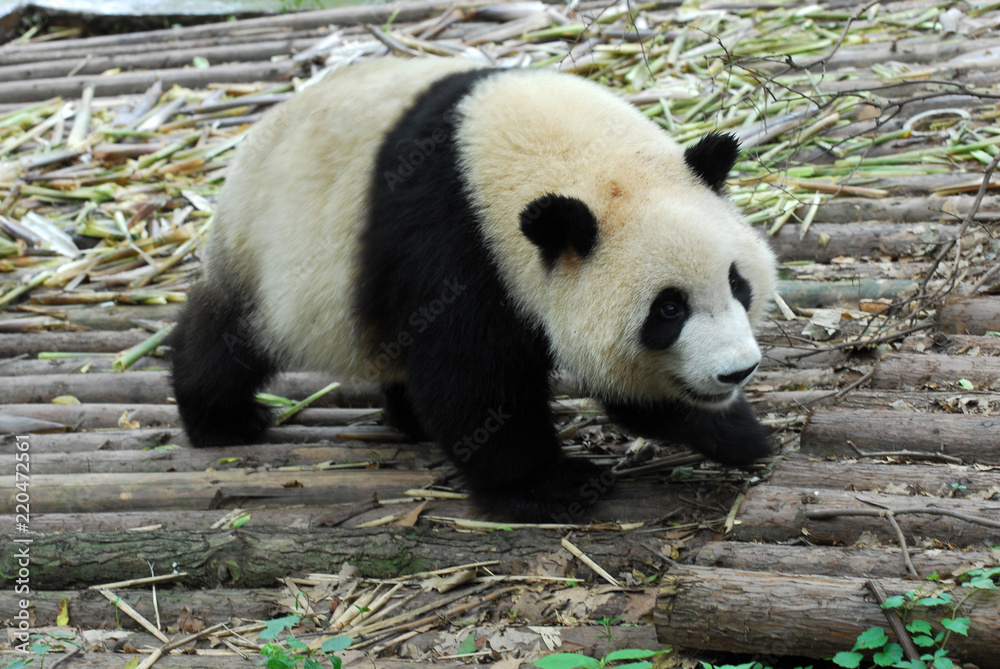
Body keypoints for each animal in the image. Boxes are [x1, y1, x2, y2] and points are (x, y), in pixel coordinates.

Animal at [169, 57, 777, 522]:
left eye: (737, 284)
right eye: (668, 309)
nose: (737, 371)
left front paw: (739, 434)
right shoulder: (454, 242)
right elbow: (474, 381)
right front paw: (550, 486)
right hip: (269, 252)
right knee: (228, 334)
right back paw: (222, 420)